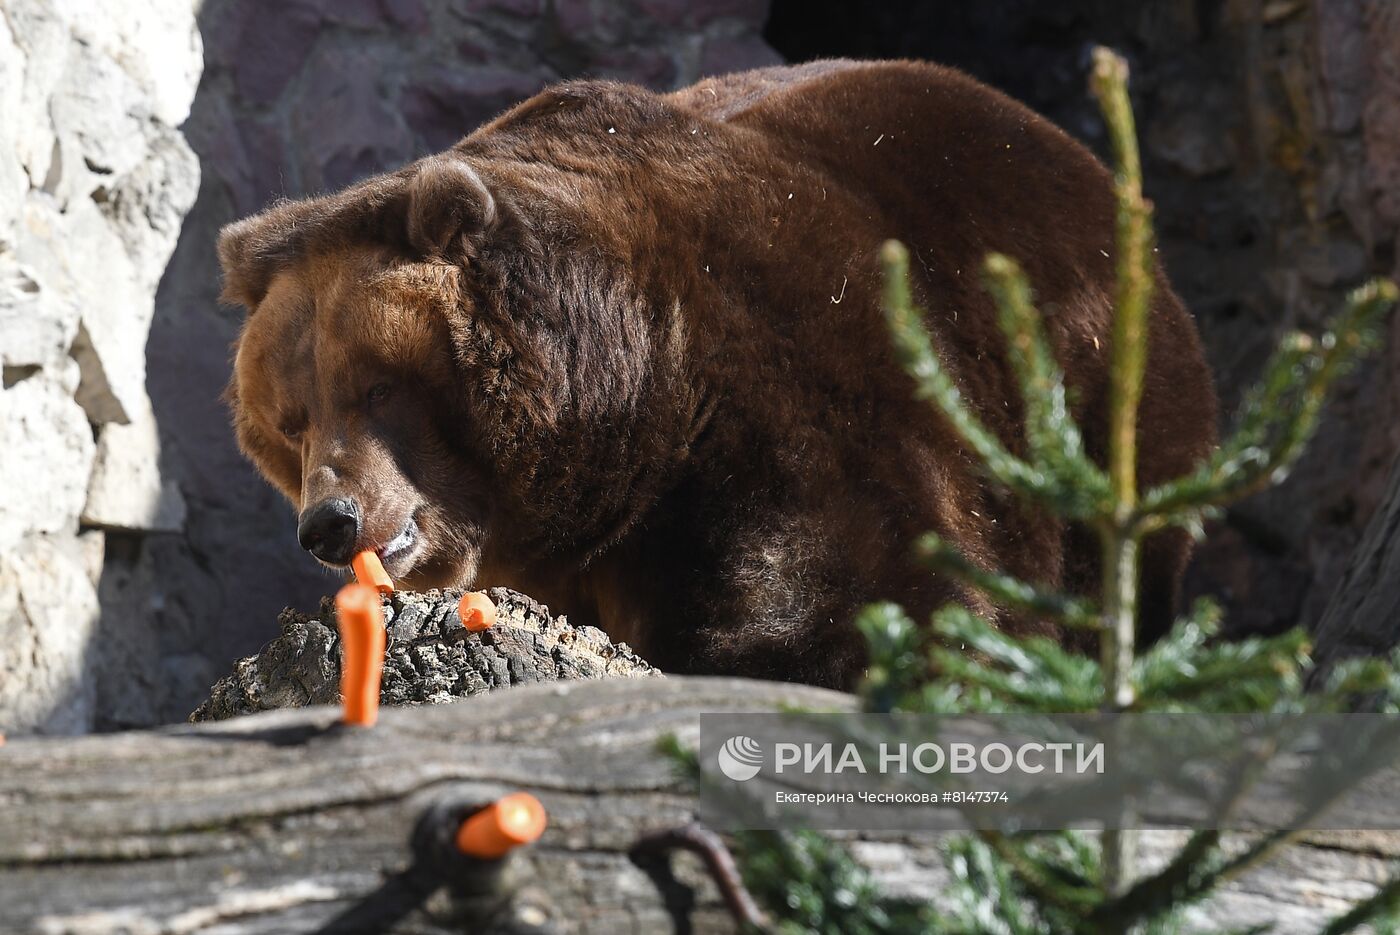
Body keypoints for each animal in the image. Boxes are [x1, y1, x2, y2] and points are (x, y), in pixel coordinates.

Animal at [215, 58, 1215, 685]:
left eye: (379, 385)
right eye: (290, 421)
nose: (331, 522)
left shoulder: (805, 376)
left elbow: (874, 591)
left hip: (1093, 396)